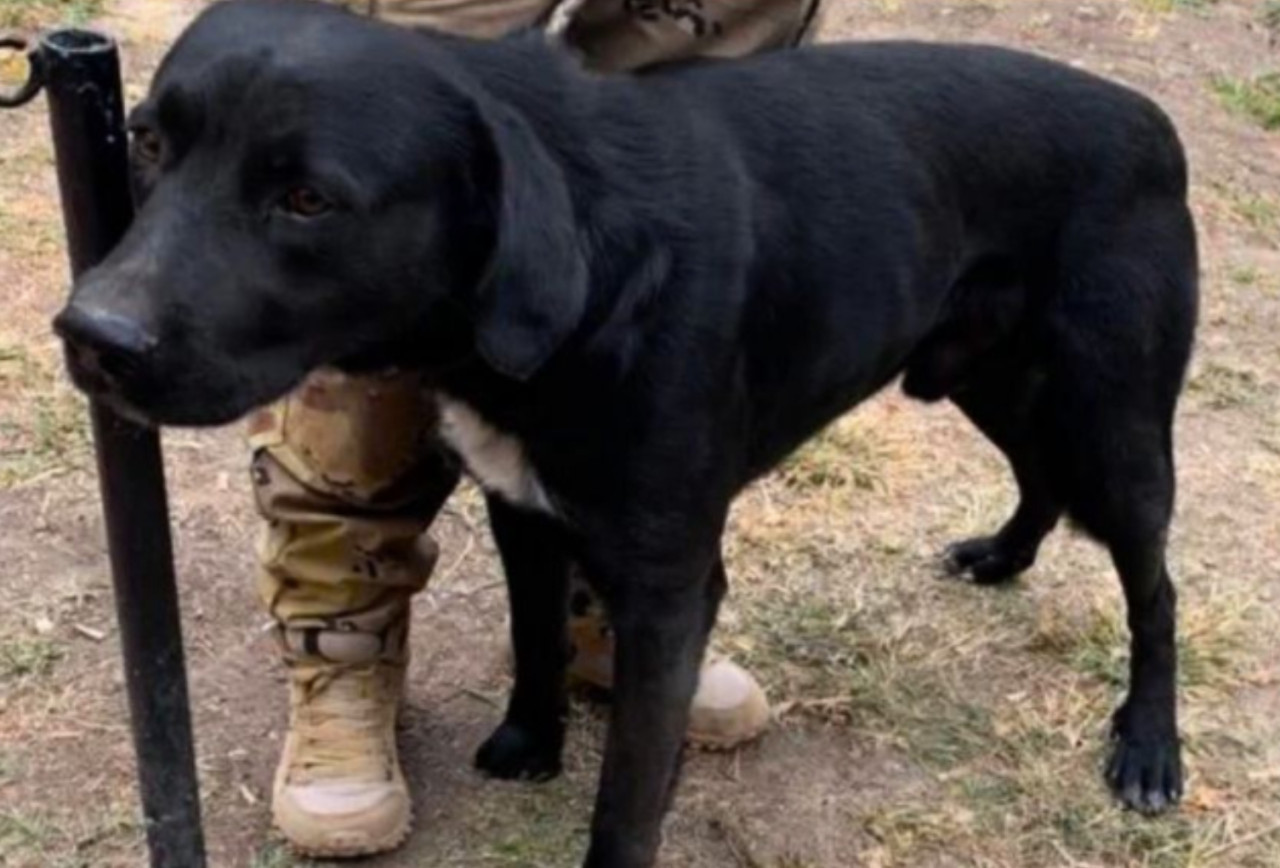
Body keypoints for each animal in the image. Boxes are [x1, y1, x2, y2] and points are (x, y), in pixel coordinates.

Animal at [55, 3, 1198, 865]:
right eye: (147, 141)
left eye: (306, 199)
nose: (91, 335)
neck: (586, 269)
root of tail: (1148, 117)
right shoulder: (521, 507)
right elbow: (537, 634)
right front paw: (530, 740)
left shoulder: (669, 584)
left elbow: (628, 794)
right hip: (987, 376)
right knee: (1039, 476)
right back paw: (1003, 556)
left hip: (1115, 423)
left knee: (1154, 585)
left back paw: (1148, 749)